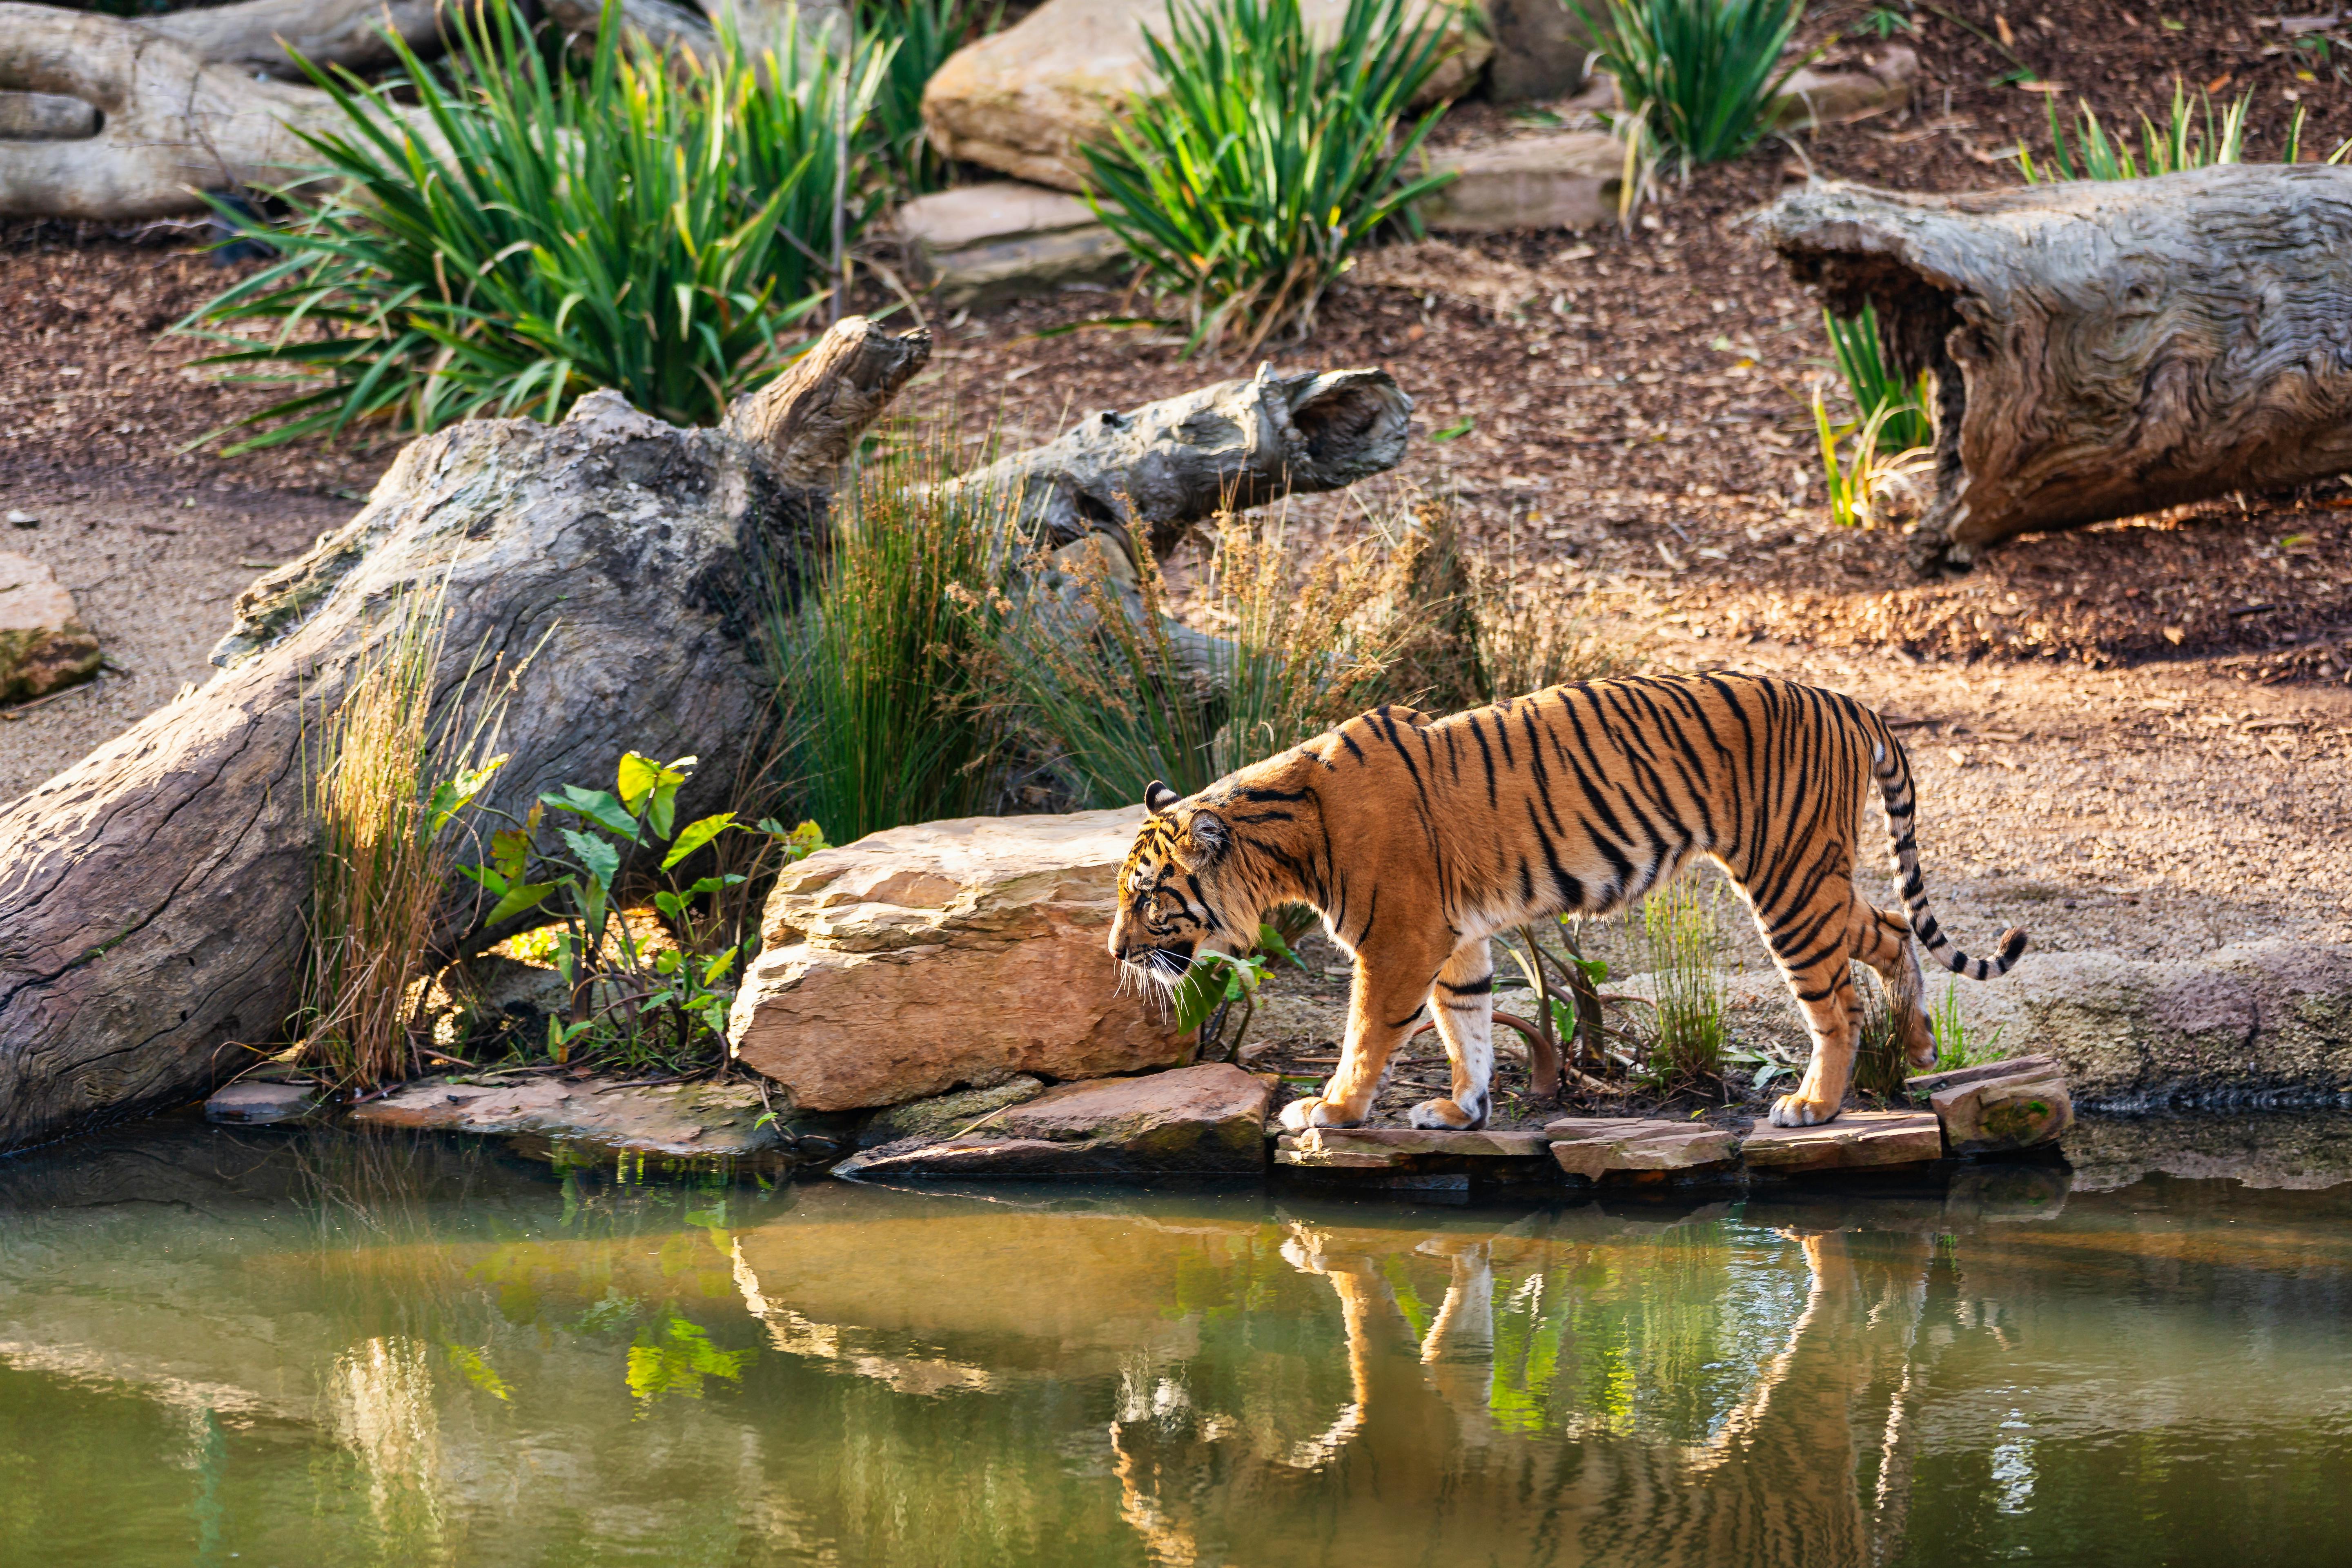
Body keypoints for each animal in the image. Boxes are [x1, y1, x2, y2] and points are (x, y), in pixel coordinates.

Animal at [1100, 672, 2022, 1128]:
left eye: (1147, 898)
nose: (1112, 952)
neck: (1286, 834)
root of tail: (1846, 698)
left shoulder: (1398, 943)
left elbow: (1366, 1036)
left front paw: (1329, 1109)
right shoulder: (1453, 940)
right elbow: (1467, 1026)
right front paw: (1460, 1109)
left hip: (1787, 879)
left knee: (1835, 1002)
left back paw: (1815, 1104)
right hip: (1815, 877)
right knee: (1893, 928)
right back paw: (1919, 1042)